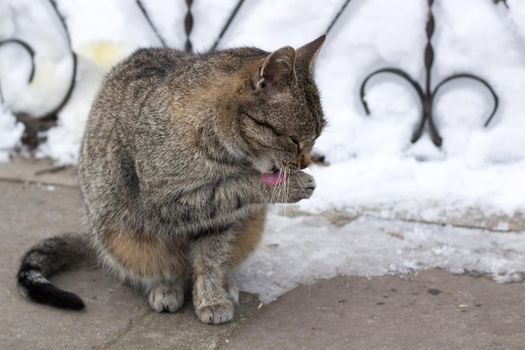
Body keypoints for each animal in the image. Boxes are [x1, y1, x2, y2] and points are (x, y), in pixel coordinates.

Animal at [16, 35, 326, 326]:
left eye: (318, 136)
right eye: (295, 140)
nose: (306, 161)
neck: (229, 155)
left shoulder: (220, 222)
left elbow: (210, 260)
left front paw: (212, 296)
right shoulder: (161, 202)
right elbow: (236, 188)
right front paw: (287, 186)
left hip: (249, 226)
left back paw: (224, 284)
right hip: (121, 235)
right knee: (157, 267)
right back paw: (165, 287)